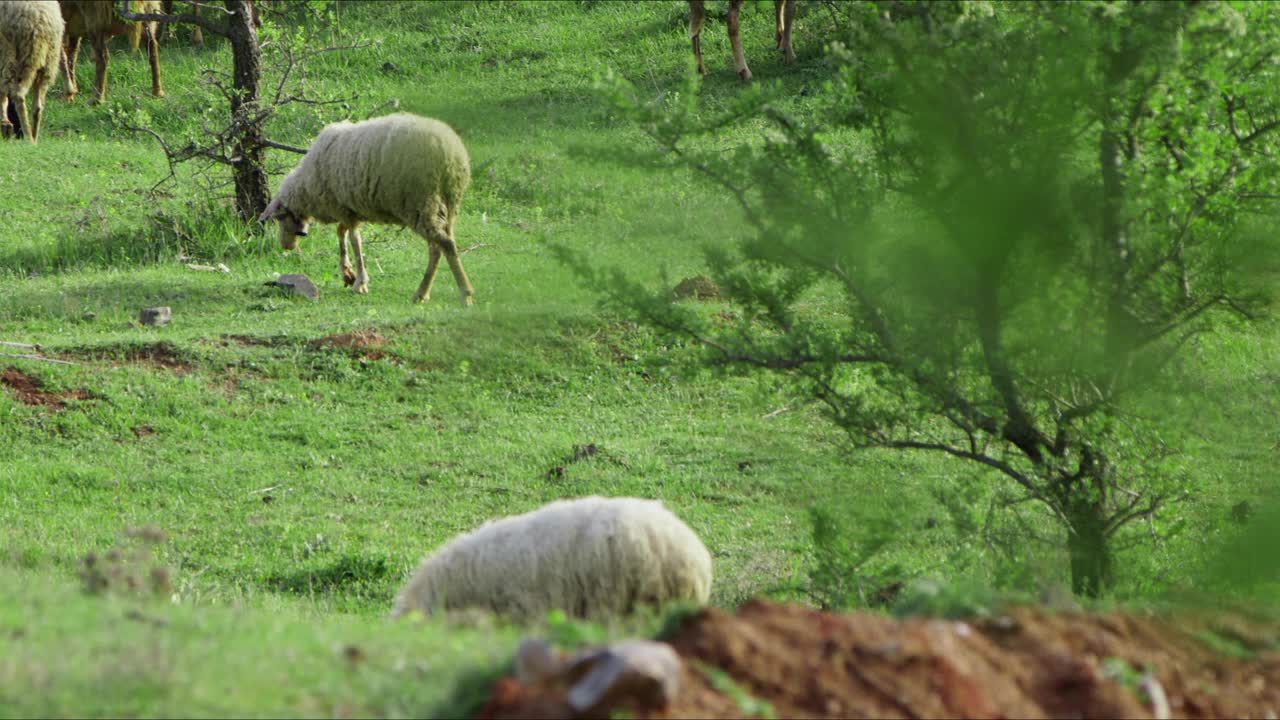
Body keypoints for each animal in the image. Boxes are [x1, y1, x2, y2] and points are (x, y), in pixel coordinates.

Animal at [0, 0, 64, 142]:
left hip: (14, 56)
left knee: (17, 95)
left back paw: (27, 137)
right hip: (48, 63)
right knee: (38, 106)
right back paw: (34, 137)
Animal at [261, 112, 481, 304]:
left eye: (279, 217)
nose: (286, 246)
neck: (307, 187)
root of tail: (450, 154)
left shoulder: (343, 207)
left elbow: (354, 241)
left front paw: (360, 282)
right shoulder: (348, 208)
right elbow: (342, 233)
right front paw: (347, 273)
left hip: (420, 203)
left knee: (445, 244)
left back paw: (465, 293)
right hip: (448, 205)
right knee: (438, 247)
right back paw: (422, 293)